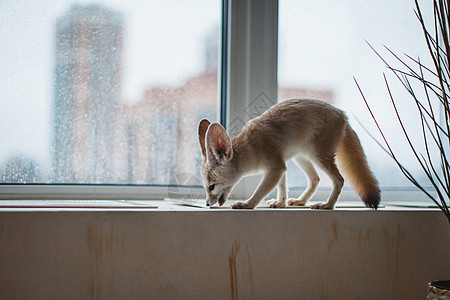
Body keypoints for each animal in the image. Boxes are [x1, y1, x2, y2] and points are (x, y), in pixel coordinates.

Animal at [198, 98, 380, 209]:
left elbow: (260, 191)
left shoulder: (276, 167)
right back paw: (301, 200)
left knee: (339, 180)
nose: (206, 204)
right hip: (301, 158)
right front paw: (281, 203)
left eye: (211, 187)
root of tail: (343, 114)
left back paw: (327, 205)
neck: (251, 145)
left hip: (319, 157)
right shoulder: (281, 166)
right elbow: (282, 188)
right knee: (315, 179)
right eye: (206, 187)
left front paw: (248, 204)